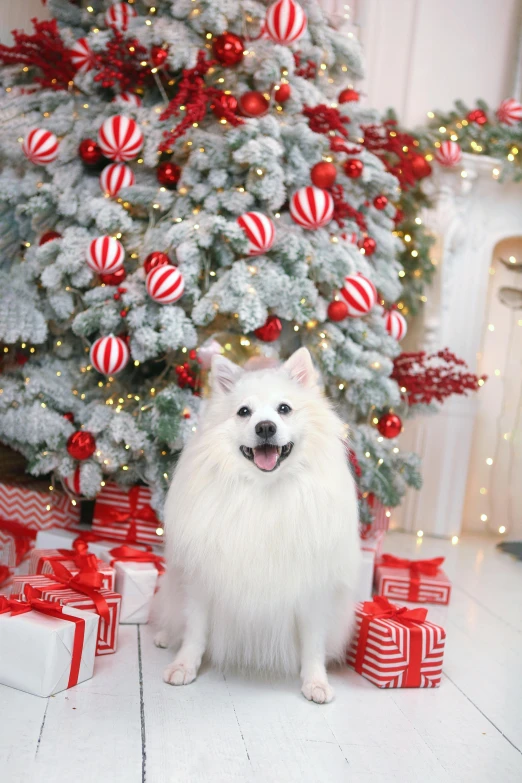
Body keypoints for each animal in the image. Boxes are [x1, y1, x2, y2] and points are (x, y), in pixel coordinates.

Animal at [152, 348, 360, 704]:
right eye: (244, 412)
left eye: (284, 409)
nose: (265, 427)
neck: (264, 491)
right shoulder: (201, 580)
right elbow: (195, 631)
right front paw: (184, 666)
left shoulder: (312, 589)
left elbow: (313, 644)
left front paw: (315, 682)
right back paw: (166, 636)